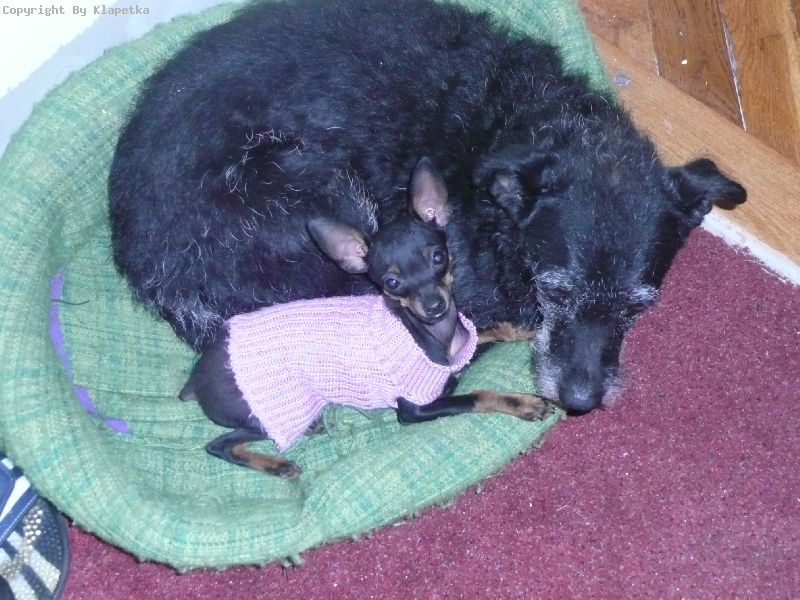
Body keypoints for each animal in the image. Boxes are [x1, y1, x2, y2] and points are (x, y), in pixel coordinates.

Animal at [179, 158, 549, 476]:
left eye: (438, 256)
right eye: (391, 282)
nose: (434, 306)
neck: (431, 334)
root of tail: (195, 380)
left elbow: (486, 330)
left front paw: (524, 330)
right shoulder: (414, 409)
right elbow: (477, 396)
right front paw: (522, 403)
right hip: (273, 412)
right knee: (219, 446)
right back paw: (277, 464)